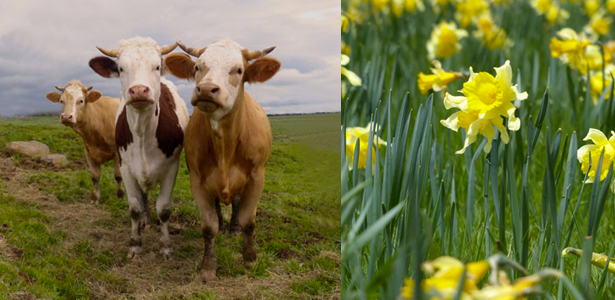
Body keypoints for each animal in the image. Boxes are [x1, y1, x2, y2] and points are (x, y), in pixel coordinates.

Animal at [86, 37, 188, 258]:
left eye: (156, 66)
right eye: (121, 68)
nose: (139, 90)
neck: (142, 133)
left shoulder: (172, 167)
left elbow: (164, 209)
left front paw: (165, 246)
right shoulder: (126, 167)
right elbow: (134, 207)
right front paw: (135, 243)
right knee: (143, 198)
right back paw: (144, 221)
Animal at [162, 38, 280, 282]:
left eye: (239, 70)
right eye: (197, 67)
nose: (207, 89)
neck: (224, 144)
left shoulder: (257, 177)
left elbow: (248, 220)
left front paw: (250, 258)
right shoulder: (197, 180)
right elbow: (209, 226)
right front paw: (208, 266)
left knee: (236, 203)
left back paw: (233, 227)